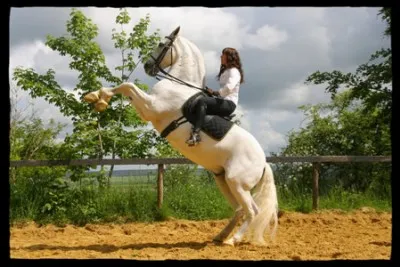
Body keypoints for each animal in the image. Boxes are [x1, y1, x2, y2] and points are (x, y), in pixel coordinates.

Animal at [83, 26, 278, 246]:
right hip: (224, 181)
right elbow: (125, 87)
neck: (179, 85)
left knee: (252, 211)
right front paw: (95, 97)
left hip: (238, 183)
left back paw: (232, 240)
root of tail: (263, 162)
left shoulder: (151, 107)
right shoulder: (148, 108)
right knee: (239, 210)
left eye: (161, 44)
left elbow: (127, 86)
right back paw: (220, 236)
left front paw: (100, 99)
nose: (147, 66)